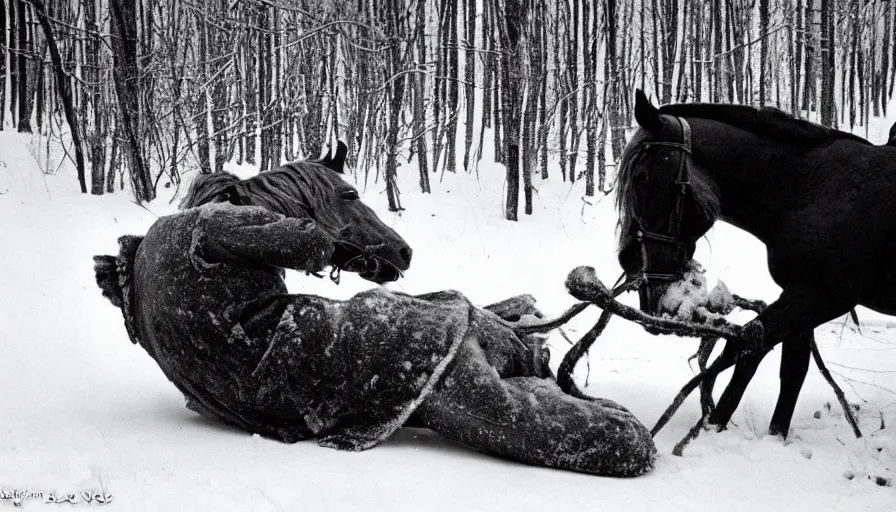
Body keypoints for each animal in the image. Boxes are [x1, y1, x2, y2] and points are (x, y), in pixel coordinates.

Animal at [616, 90, 896, 438]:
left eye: (641, 177)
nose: (628, 261)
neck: (810, 189)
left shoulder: (824, 298)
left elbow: (746, 346)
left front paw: (713, 425)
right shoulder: (802, 298)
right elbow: (789, 372)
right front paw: (774, 437)